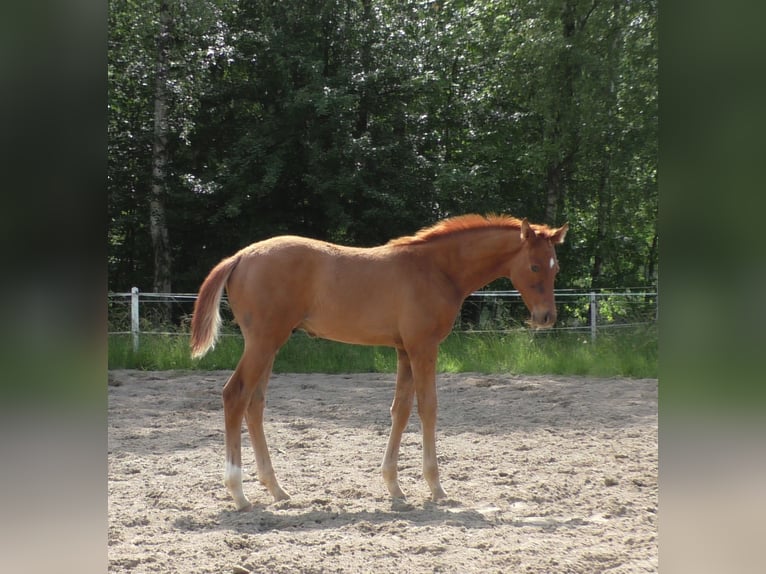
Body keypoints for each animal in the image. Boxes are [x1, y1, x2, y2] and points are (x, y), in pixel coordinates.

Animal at [189, 214, 568, 510]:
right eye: (534, 265)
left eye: (556, 268)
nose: (546, 317)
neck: (436, 269)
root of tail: (240, 256)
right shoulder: (423, 346)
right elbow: (428, 407)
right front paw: (436, 487)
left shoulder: (404, 349)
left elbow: (400, 409)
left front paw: (394, 487)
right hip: (264, 342)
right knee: (235, 395)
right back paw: (239, 494)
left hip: (269, 345)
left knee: (254, 403)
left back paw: (277, 489)